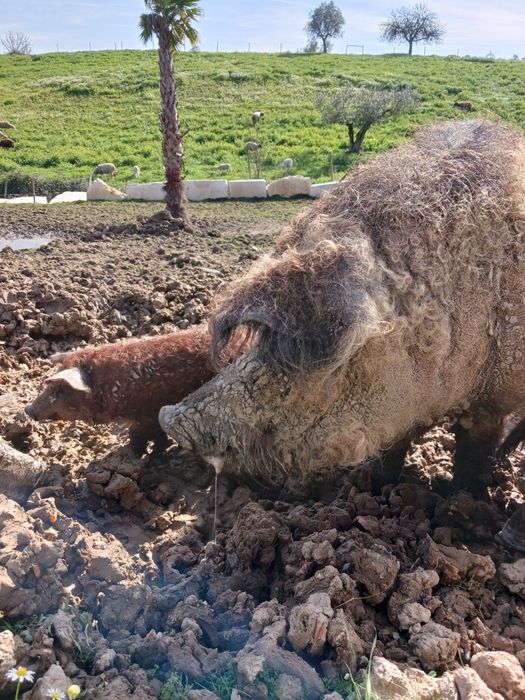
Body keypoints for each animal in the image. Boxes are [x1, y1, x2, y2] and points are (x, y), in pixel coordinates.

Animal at [159, 119, 525, 498]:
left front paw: (460, 499)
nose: (170, 419)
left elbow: (471, 453)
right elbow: (391, 448)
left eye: (314, 361)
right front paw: (375, 488)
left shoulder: (494, 400)